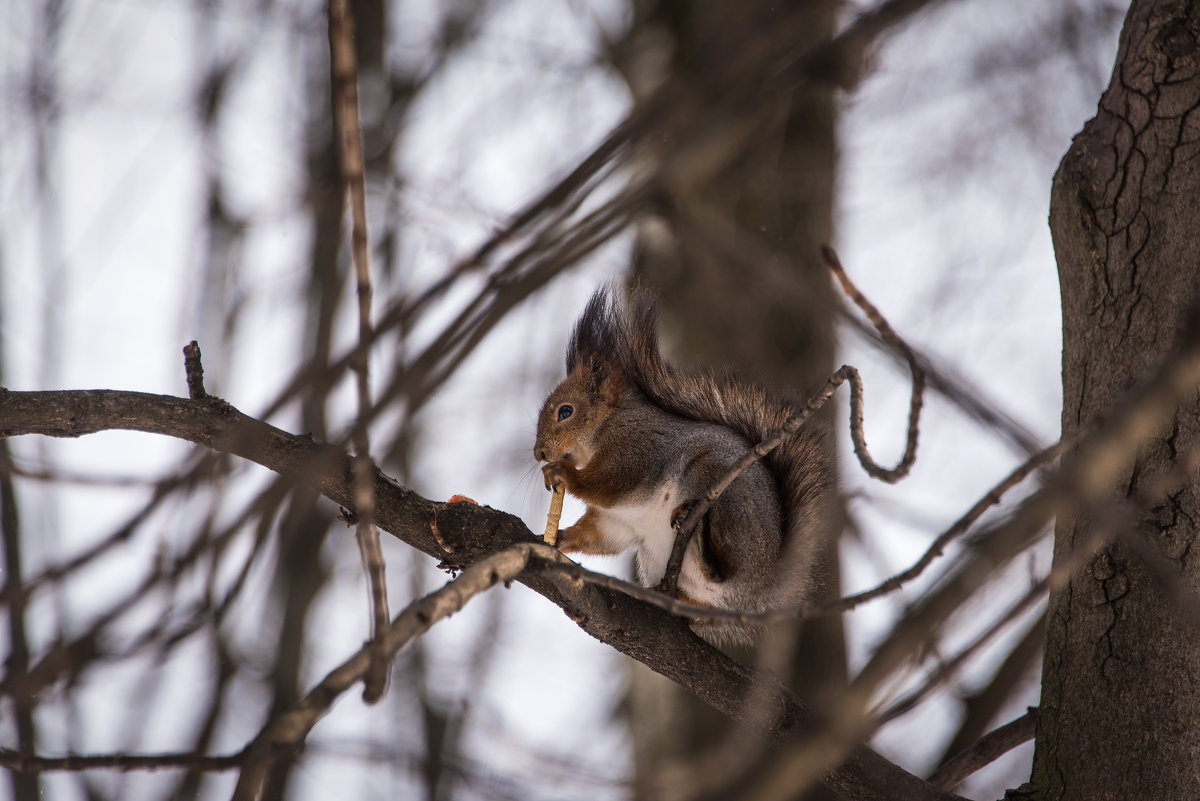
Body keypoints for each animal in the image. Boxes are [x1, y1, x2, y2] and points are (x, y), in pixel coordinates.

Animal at [535, 287, 835, 642]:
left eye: (565, 411)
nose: (539, 453)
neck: (608, 425)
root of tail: (762, 589)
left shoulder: (637, 451)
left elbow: (611, 484)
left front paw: (562, 473)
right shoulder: (619, 521)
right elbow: (603, 533)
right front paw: (561, 538)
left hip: (719, 489)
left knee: (720, 570)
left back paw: (698, 532)